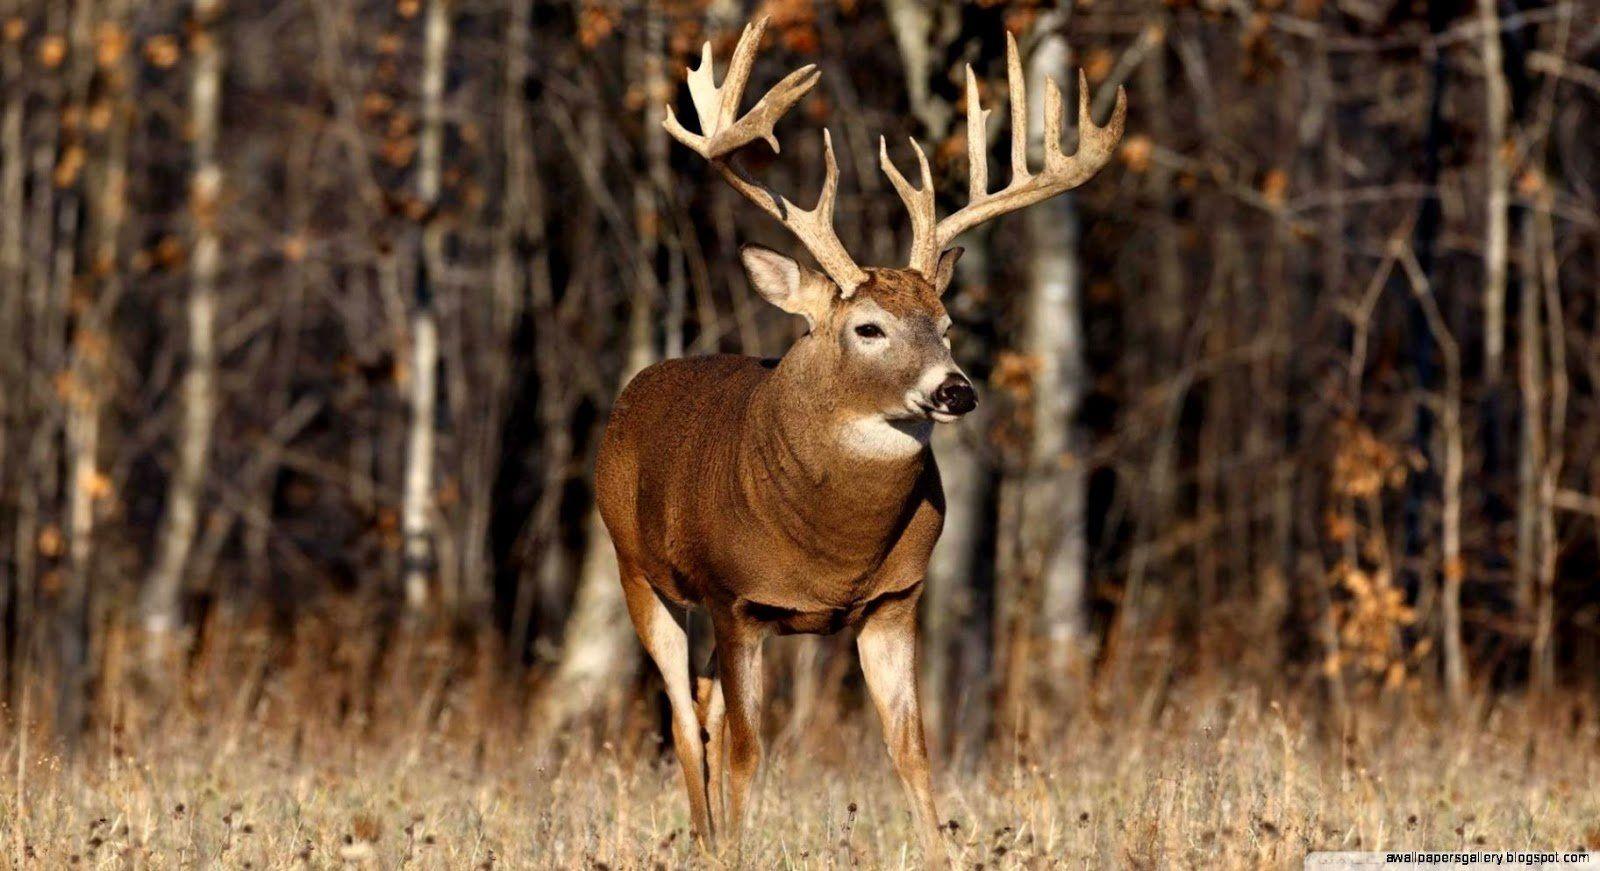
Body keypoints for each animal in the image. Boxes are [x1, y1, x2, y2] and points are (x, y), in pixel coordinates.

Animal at [593, 16, 1125, 866]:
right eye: (867, 328)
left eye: (946, 323)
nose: (956, 389)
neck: (833, 551)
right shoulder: (736, 598)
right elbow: (748, 749)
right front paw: (738, 849)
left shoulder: (895, 599)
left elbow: (911, 746)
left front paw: (941, 851)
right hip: (637, 569)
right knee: (682, 715)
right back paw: (707, 838)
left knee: (703, 705)